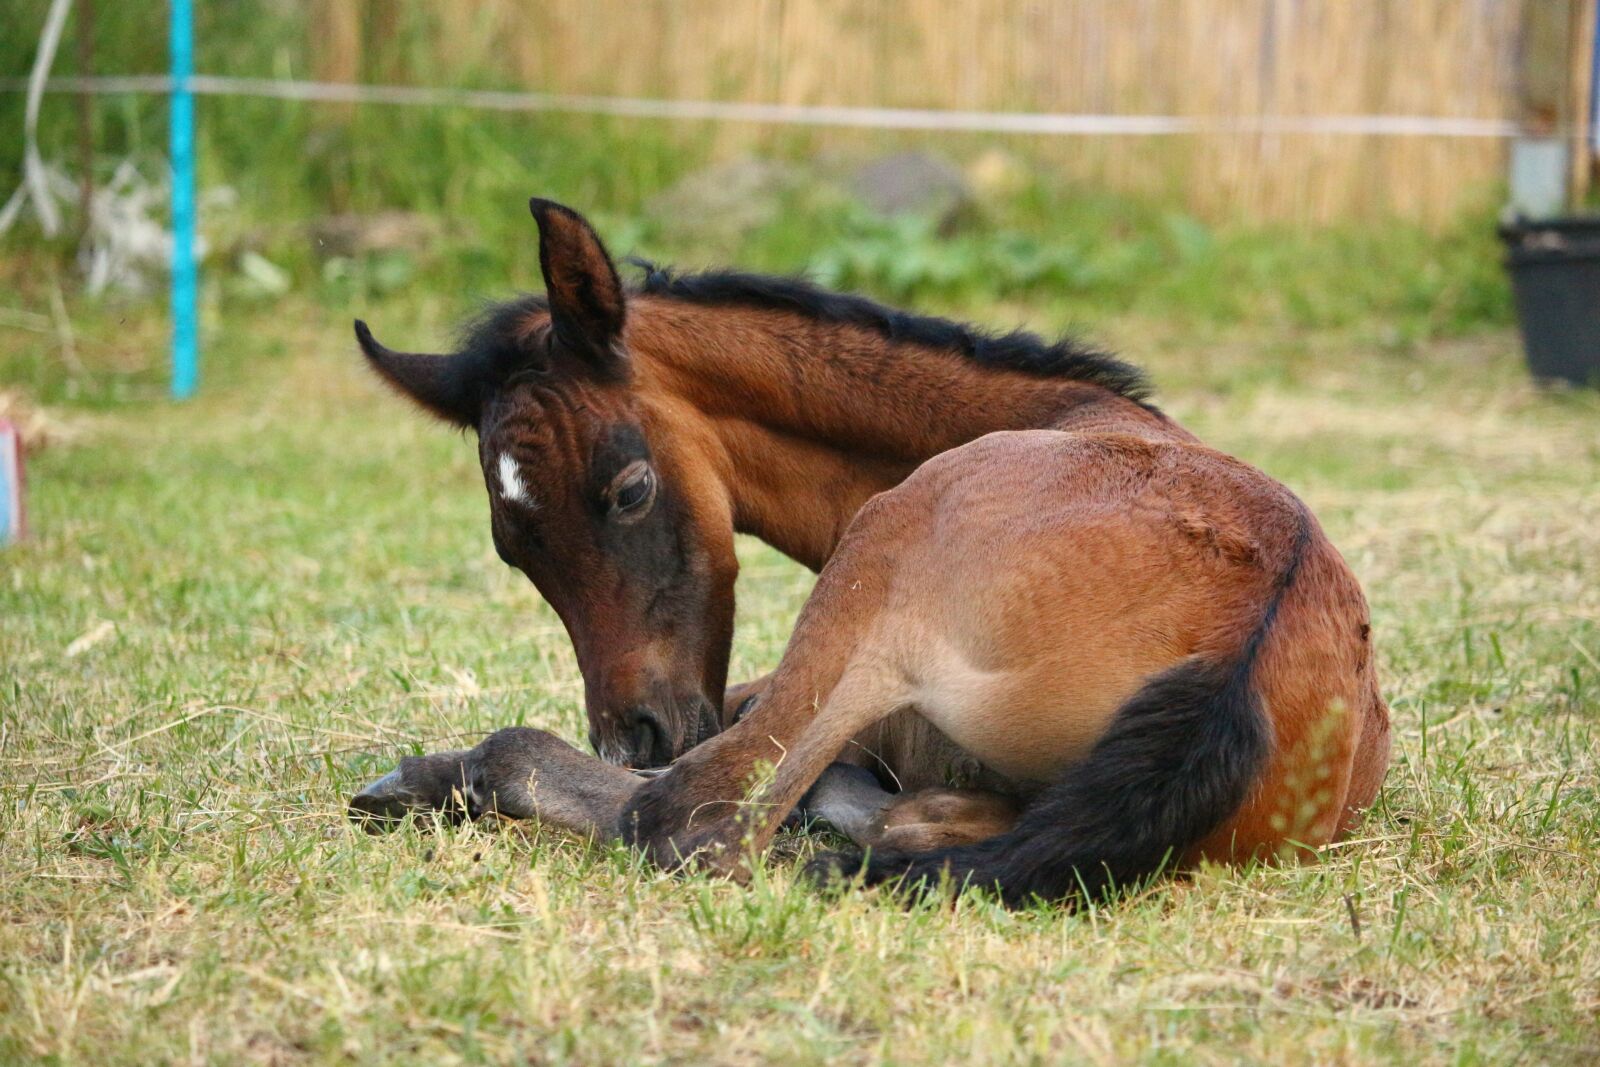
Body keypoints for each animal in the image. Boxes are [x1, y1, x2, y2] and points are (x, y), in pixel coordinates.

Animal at [347, 197, 1390, 905]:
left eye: (631, 490)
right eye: (511, 546)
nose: (633, 734)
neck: (1060, 411)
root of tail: (1239, 642)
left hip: (874, 569)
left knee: (695, 817)